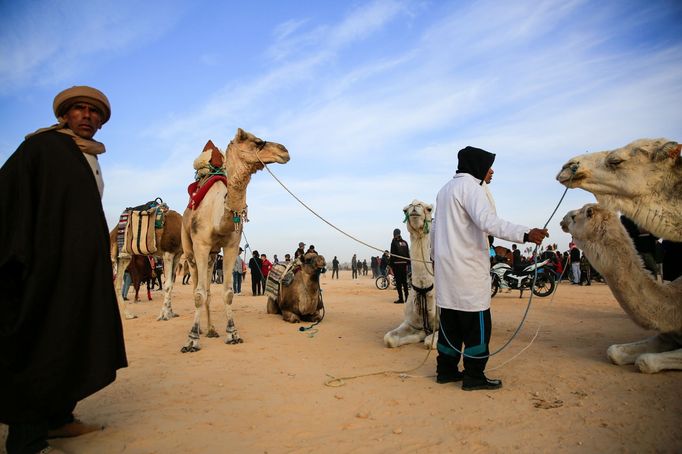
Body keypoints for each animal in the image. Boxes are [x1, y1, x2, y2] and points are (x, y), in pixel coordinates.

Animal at [179, 129, 288, 352]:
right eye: (257, 142)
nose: (284, 150)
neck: (219, 216)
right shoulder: (201, 245)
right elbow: (198, 294)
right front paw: (192, 339)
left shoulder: (230, 246)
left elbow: (228, 292)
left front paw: (232, 334)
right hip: (190, 250)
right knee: (196, 287)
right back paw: (200, 330)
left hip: (212, 256)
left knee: (208, 289)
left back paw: (211, 330)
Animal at [382, 200, 436, 350]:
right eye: (405, 209)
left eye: (429, 209)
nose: (415, 206)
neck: (424, 289)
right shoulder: (410, 323)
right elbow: (389, 339)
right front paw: (420, 335)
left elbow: (430, 343)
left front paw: (426, 338)